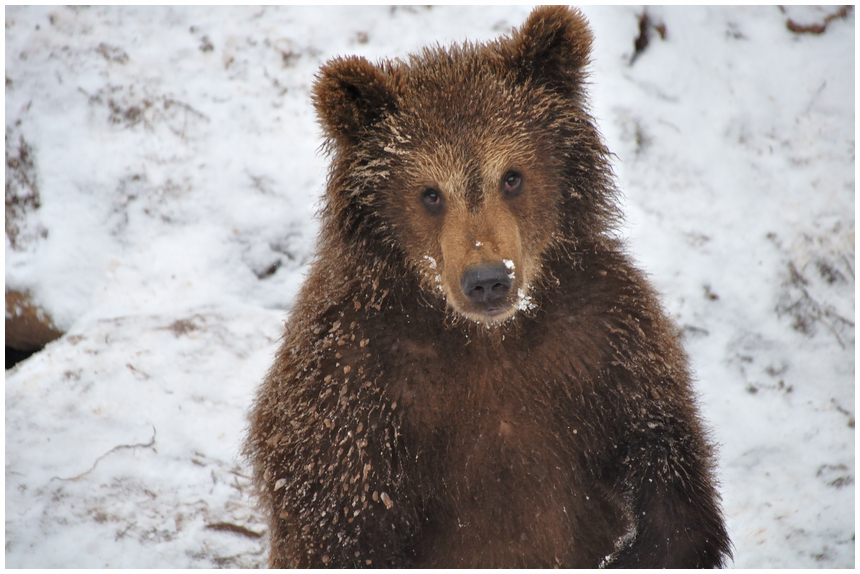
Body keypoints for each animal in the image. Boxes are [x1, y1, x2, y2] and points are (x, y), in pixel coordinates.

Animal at [245, 5, 728, 572]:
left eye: (511, 176)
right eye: (430, 193)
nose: (488, 280)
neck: (486, 339)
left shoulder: (608, 341)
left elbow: (669, 478)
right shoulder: (348, 386)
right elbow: (336, 524)